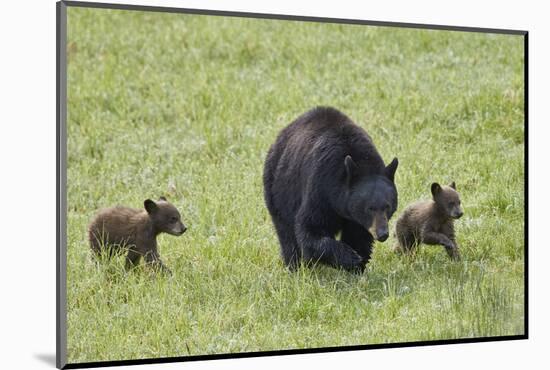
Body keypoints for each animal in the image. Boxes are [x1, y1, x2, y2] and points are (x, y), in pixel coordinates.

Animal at [264, 107, 398, 272]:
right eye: (369, 208)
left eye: (388, 206)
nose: (382, 234)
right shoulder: (320, 186)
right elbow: (309, 228)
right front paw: (350, 257)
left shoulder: (355, 218)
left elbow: (358, 236)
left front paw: (358, 265)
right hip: (278, 189)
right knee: (286, 232)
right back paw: (295, 266)